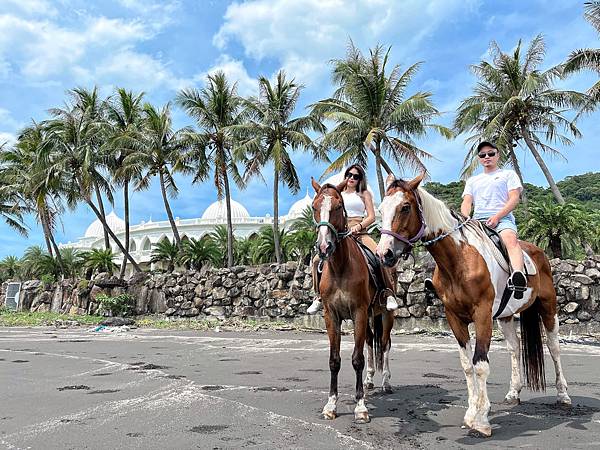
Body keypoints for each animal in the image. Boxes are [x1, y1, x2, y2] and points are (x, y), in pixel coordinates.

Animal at [312, 178, 396, 422]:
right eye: (314, 206)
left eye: (338, 206)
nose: (324, 247)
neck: (340, 267)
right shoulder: (332, 316)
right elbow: (334, 360)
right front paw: (331, 404)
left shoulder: (358, 312)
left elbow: (357, 359)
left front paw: (360, 407)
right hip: (369, 316)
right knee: (370, 341)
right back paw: (369, 380)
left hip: (385, 315)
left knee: (384, 344)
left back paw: (386, 382)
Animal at [378, 173, 568, 436]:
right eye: (381, 209)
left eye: (405, 207)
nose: (384, 253)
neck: (459, 260)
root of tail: (538, 252)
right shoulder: (454, 317)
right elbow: (467, 365)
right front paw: (471, 412)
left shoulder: (482, 315)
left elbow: (480, 364)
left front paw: (482, 420)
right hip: (506, 316)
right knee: (514, 347)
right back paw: (513, 393)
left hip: (548, 307)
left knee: (554, 347)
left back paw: (563, 396)